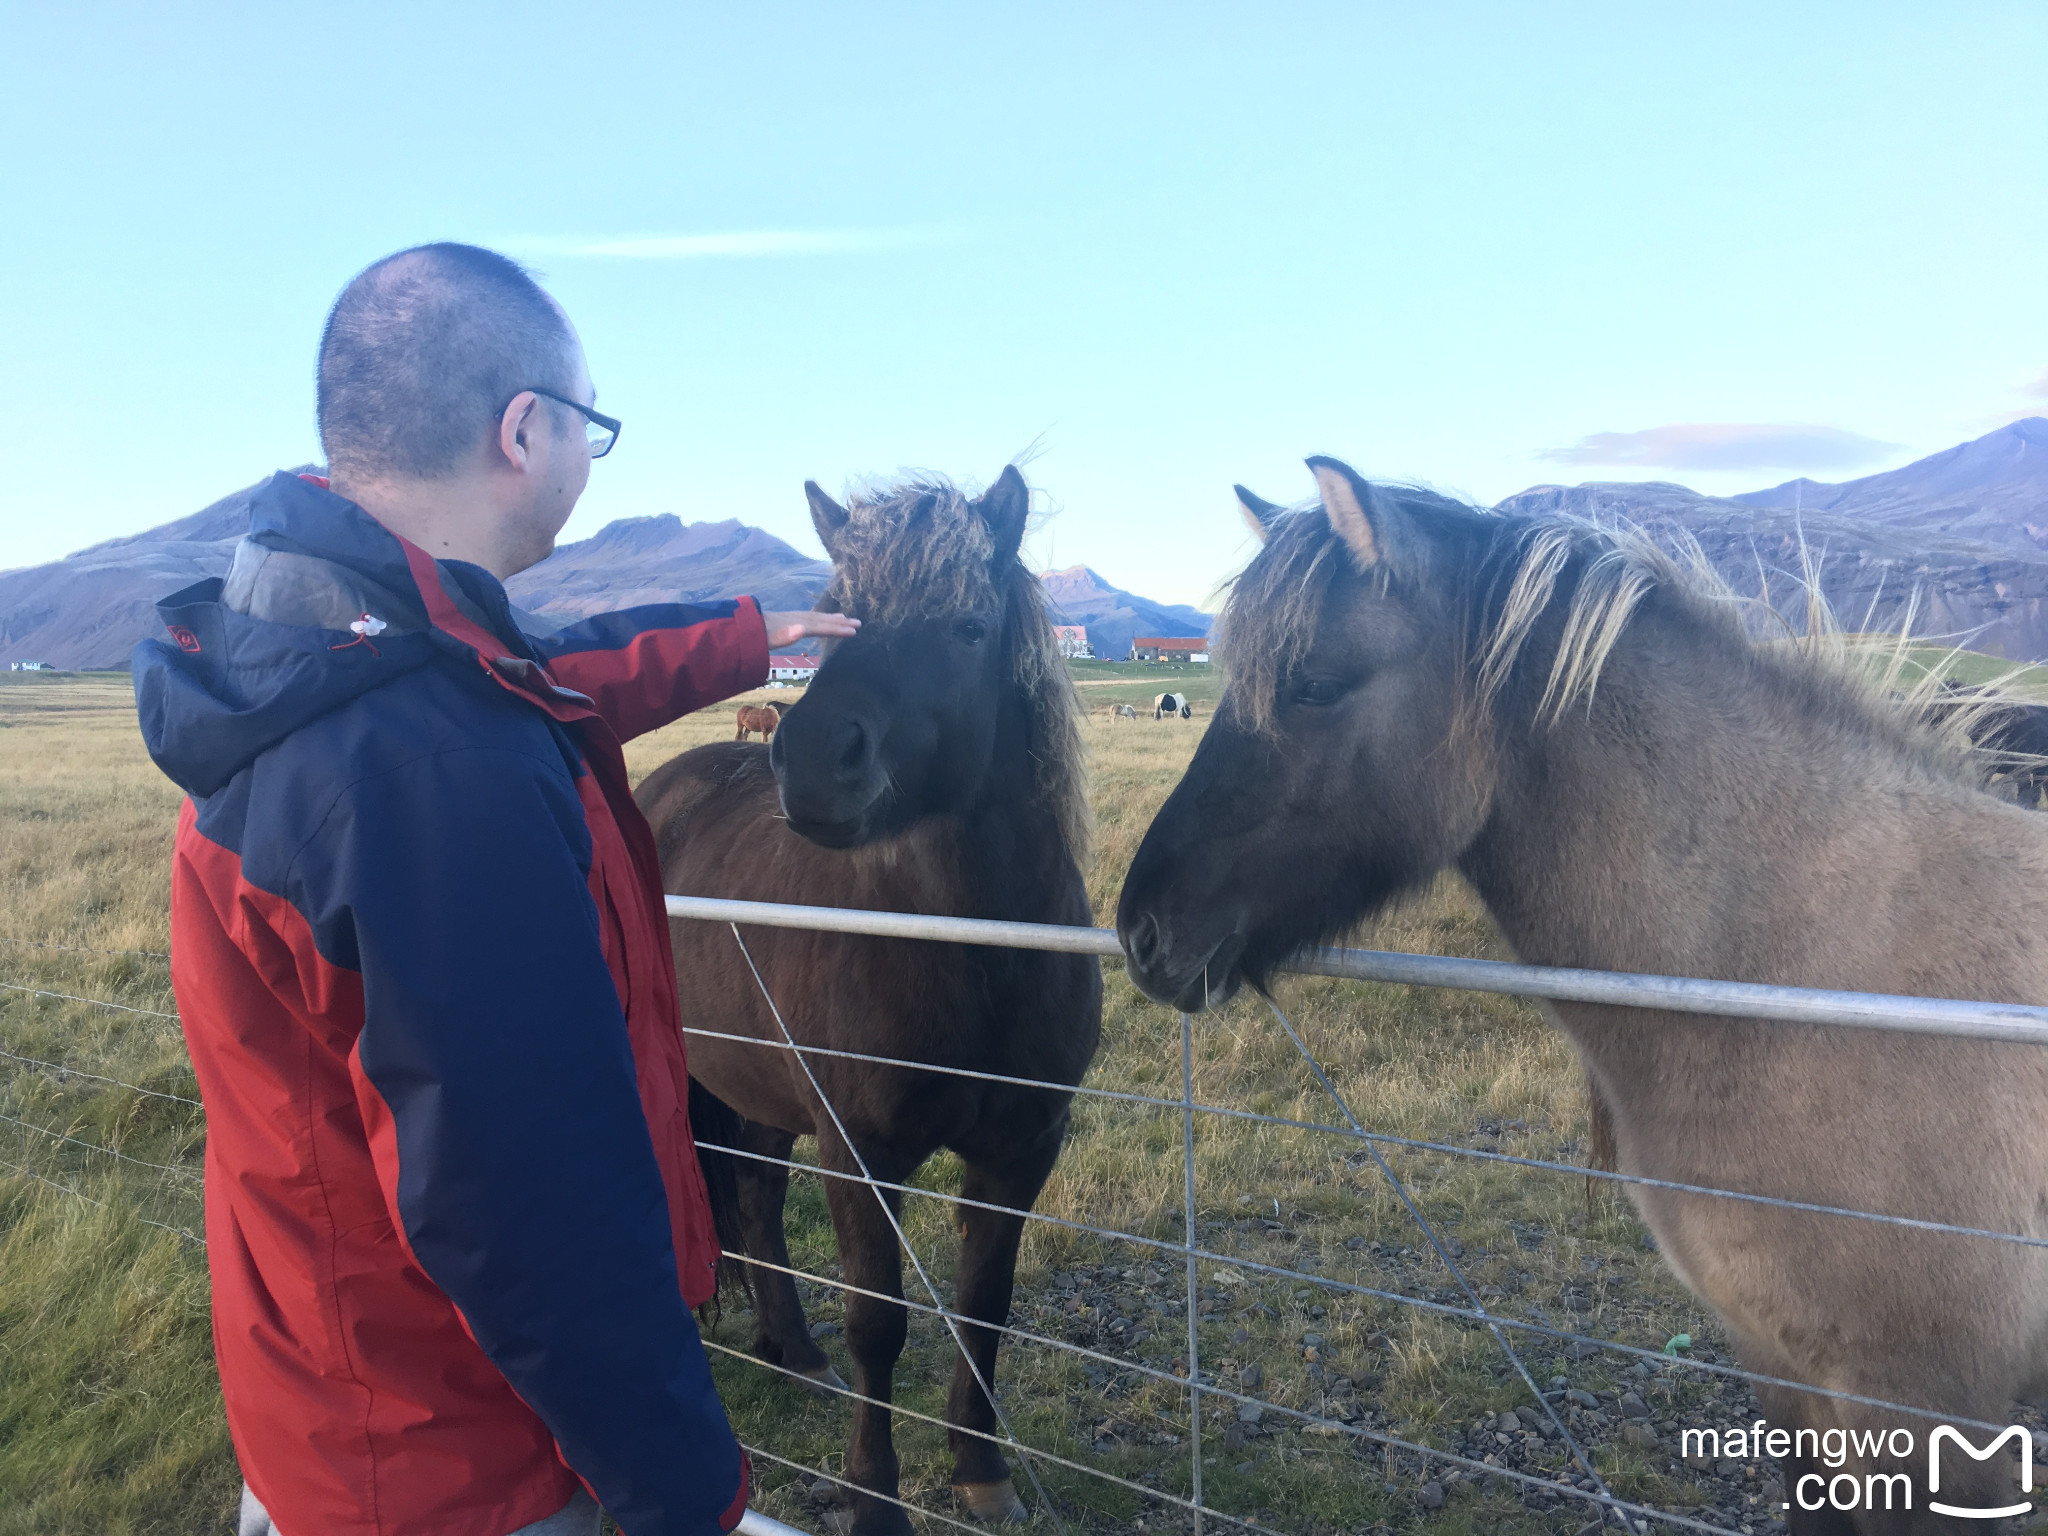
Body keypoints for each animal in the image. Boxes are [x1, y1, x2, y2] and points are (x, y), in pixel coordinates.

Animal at [638, 473, 1105, 1536]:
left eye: (969, 627)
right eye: (828, 620)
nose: (812, 760)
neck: (971, 955)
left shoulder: (1021, 1151)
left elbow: (984, 1306)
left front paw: (979, 1469)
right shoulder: (859, 1154)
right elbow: (877, 1323)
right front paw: (873, 1496)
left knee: (757, 1193)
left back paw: (789, 1347)